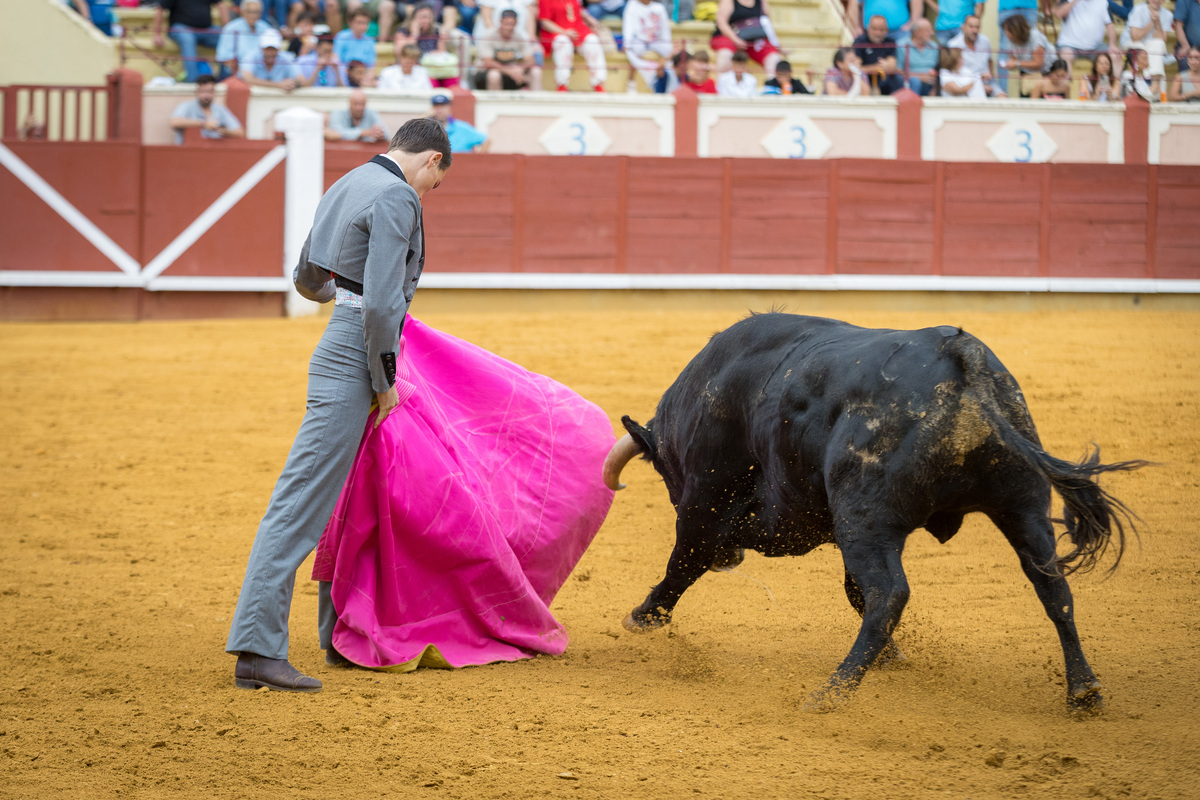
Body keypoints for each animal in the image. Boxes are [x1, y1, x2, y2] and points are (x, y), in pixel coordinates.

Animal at [600, 314, 1142, 714]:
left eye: (665, 474)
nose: (729, 560)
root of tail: (962, 358)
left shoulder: (708, 497)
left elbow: (684, 559)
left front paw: (642, 618)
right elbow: (850, 589)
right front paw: (893, 659)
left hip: (864, 517)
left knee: (889, 594)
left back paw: (831, 694)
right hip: (1021, 506)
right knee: (1052, 587)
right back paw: (1084, 692)